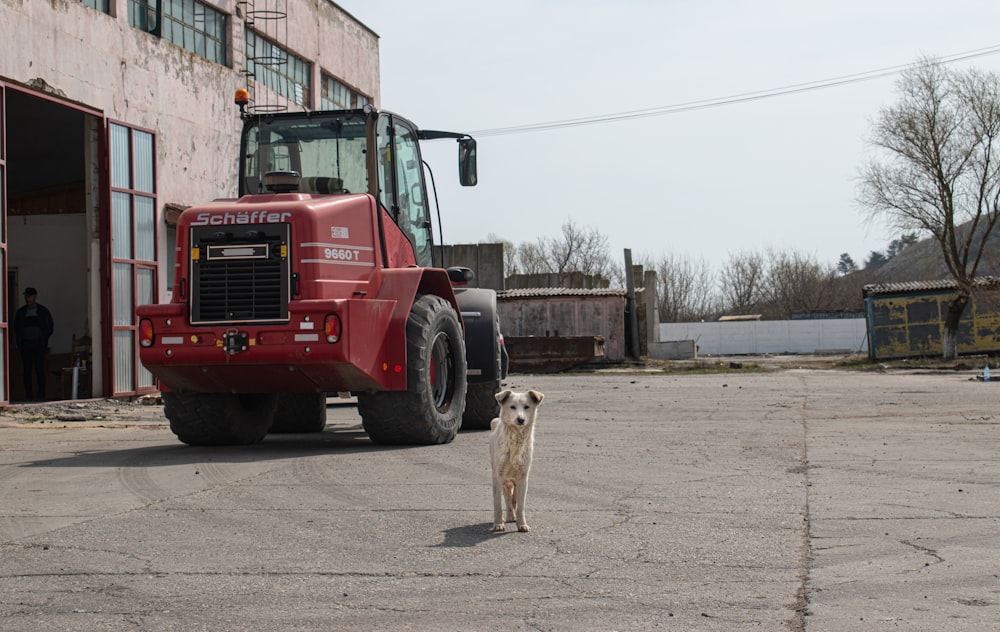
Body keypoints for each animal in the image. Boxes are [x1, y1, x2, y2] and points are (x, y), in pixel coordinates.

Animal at [488, 388, 544, 532]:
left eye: (527, 407)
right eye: (512, 407)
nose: (520, 419)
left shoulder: (523, 477)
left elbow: (520, 505)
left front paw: (522, 524)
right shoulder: (498, 477)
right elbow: (498, 504)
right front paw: (498, 523)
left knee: (513, 497)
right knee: (507, 497)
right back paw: (508, 516)